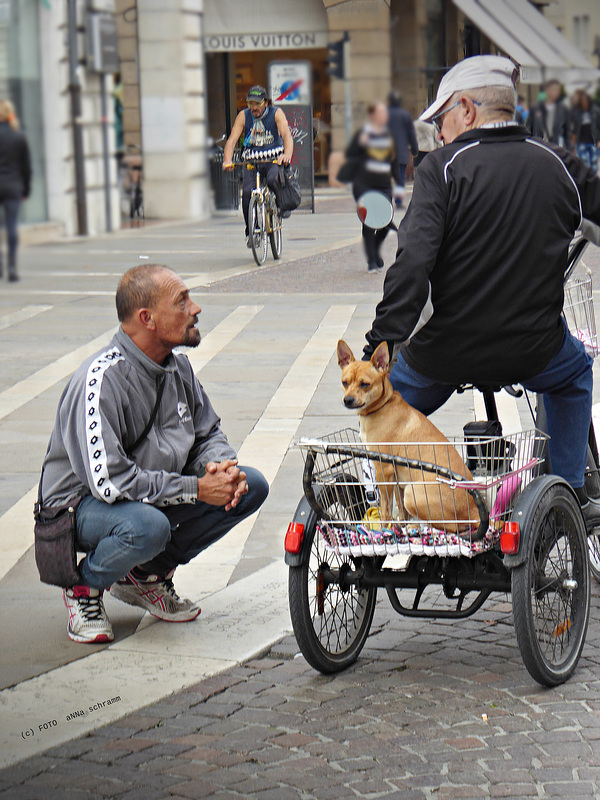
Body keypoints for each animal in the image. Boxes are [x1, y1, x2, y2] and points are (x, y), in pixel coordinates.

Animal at [338, 338, 478, 532]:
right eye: (345, 382)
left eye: (364, 384)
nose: (348, 400)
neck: (383, 406)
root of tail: (474, 510)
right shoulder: (397, 479)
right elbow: (400, 511)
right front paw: (398, 526)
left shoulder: (384, 471)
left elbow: (386, 508)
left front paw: (384, 529)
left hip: (414, 493)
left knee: (448, 527)